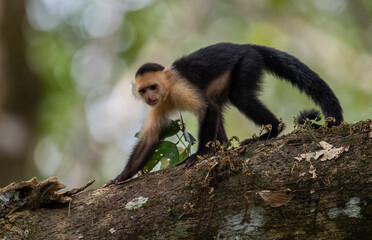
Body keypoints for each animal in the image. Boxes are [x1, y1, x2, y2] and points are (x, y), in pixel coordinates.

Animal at [103, 42, 344, 187]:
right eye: (144, 90)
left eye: (153, 86)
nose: (150, 96)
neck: (168, 92)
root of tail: (246, 46)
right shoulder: (158, 106)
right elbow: (151, 137)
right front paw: (122, 177)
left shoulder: (181, 88)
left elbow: (207, 109)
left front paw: (199, 155)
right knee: (220, 104)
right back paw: (224, 145)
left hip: (249, 61)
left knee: (238, 97)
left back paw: (273, 130)